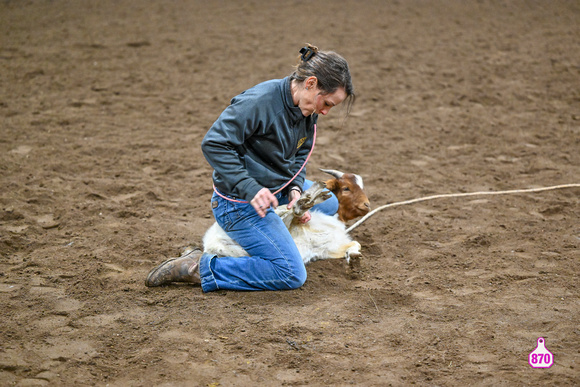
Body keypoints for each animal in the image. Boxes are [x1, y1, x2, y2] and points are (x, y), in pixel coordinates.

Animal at [202, 171, 370, 266]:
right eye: (346, 188)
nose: (367, 205)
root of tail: (210, 243)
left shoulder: (329, 248)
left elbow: (356, 244)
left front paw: (353, 257)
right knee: (287, 212)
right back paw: (308, 199)